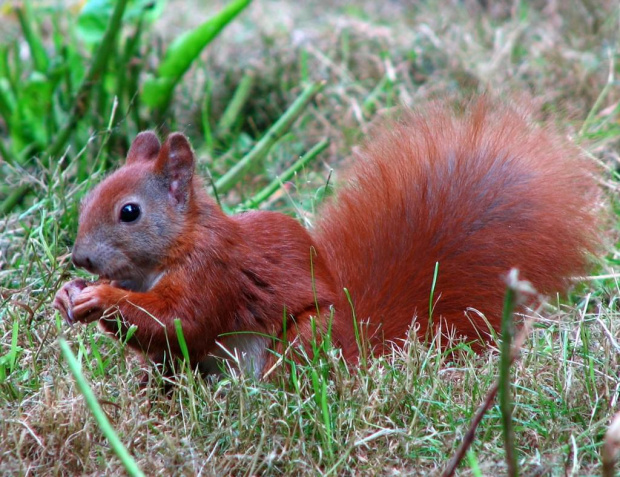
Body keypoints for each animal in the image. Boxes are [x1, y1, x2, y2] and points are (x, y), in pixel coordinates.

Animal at [53, 99, 600, 376]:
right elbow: (162, 334)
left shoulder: (214, 271)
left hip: (307, 338)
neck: (164, 256)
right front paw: (68, 296)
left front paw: (99, 298)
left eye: (130, 212)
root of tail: (358, 345)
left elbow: (180, 321)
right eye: (88, 197)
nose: (79, 259)